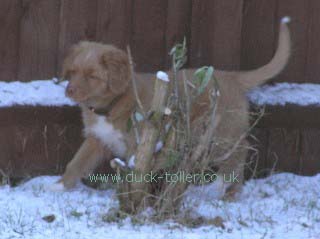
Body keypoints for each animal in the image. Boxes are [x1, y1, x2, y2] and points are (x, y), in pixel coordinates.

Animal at [56, 16, 292, 196]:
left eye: (92, 76)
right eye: (73, 72)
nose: (69, 90)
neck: (110, 106)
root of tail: (233, 77)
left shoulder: (139, 143)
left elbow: (136, 172)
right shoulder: (97, 139)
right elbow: (76, 162)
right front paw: (58, 186)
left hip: (216, 132)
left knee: (241, 150)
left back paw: (222, 187)